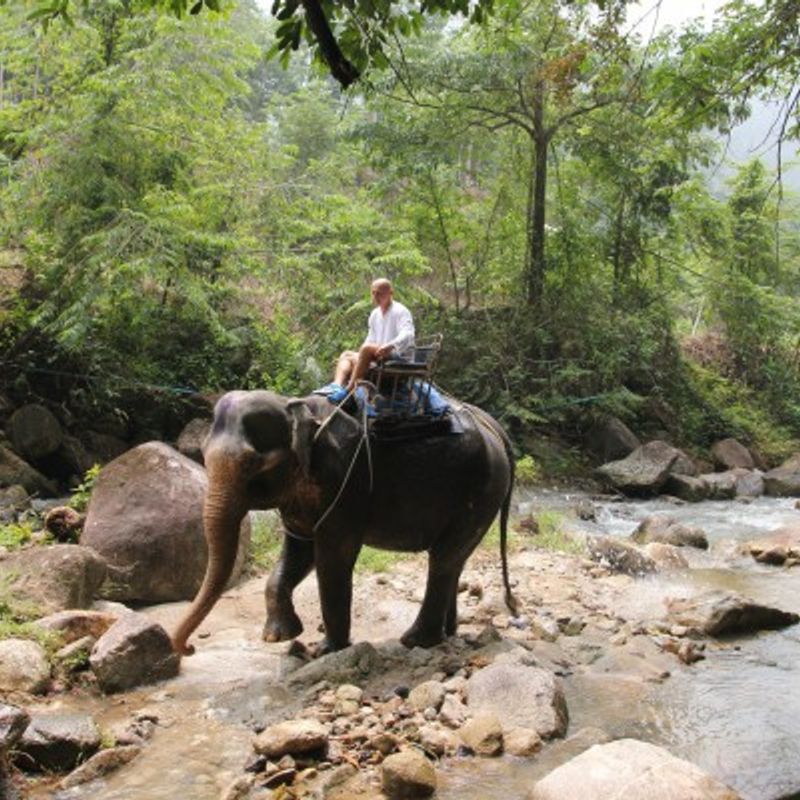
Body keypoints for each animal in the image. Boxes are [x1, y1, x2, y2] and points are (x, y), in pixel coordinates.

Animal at [171, 388, 516, 656]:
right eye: (203, 455)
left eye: (250, 463)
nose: (189, 648)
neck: (295, 405)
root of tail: (494, 428)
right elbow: (298, 553)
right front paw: (279, 637)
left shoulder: (344, 483)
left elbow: (332, 557)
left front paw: (326, 649)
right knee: (453, 558)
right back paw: (448, 632)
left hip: (481, 490)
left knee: (443, 558)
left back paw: (415, 641)